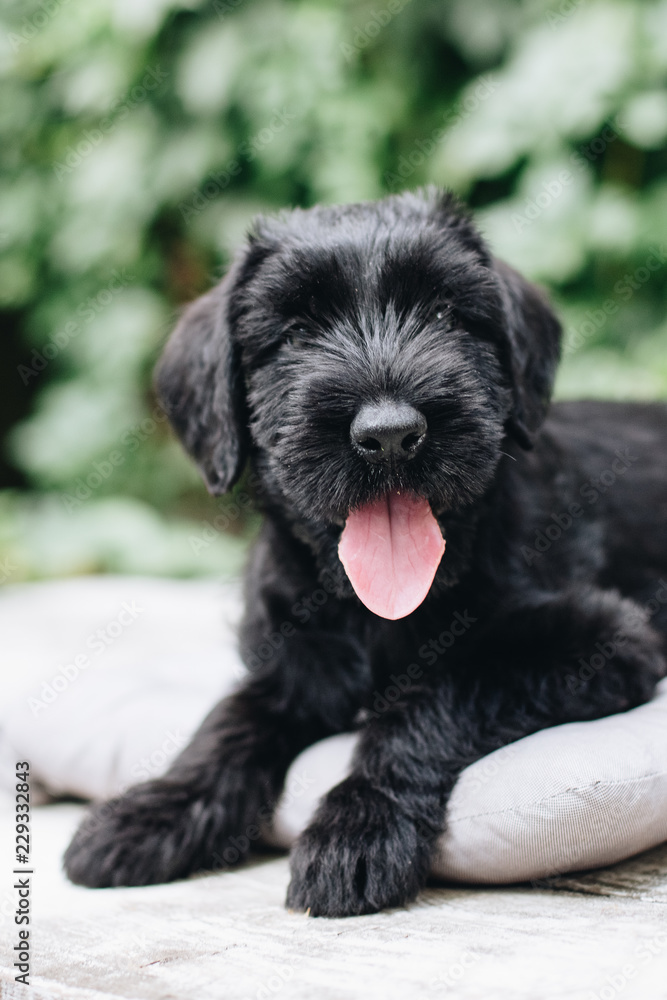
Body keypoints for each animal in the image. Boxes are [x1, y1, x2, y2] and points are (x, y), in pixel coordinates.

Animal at [64, 188, 667, 916]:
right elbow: (229, 722)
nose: (389, 434)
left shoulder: (603, 637)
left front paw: (358, 827)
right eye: (296, 333)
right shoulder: (288, 663)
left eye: (444, 314)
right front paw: (157, 809)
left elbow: (433, 693)